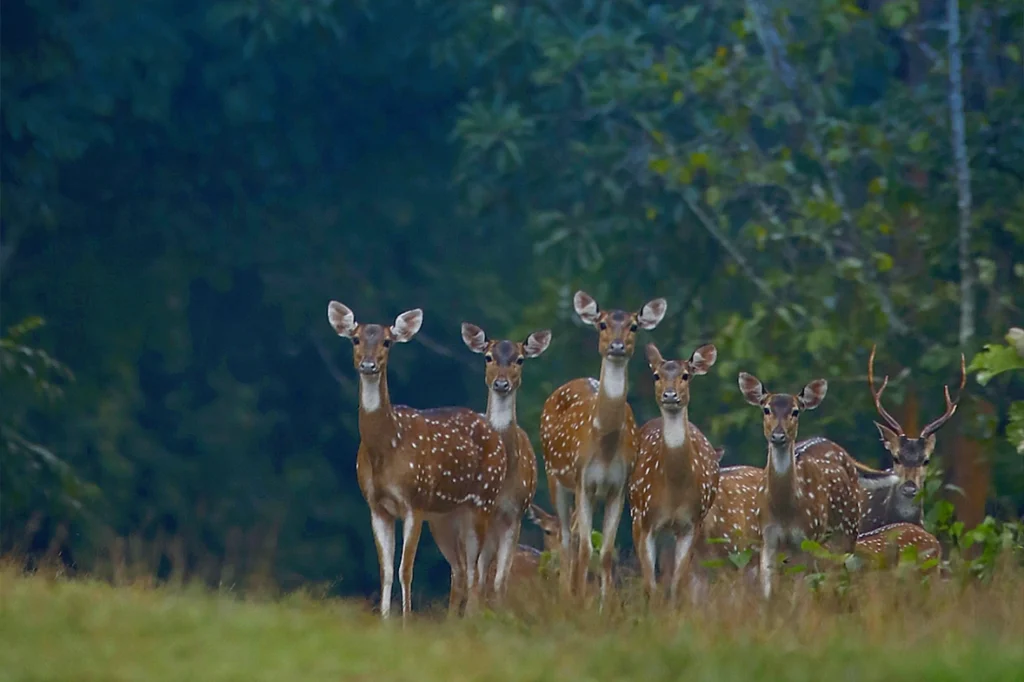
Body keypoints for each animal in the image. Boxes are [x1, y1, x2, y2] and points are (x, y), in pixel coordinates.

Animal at [325, 299, 505, 614]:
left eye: (387, 341)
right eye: (356, 339)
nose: (368, 365)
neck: (387, 448)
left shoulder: (415, 501)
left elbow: (405, 569)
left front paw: (406, 617)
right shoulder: (377, 506)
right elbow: (385, 570)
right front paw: (384, 617)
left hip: (484, 499)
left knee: (476, 570)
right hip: (446, 515)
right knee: (461, 569)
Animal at [540, 288, 667, 602]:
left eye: (634, 326)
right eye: (602, 324)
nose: (617, 346)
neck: (604, 446)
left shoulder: (617, 487)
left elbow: (606, 551)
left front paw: (604, 604)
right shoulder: (582, 480)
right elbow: (586, 548)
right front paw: (579, 603)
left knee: (575, 535)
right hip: (554, 476)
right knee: (566, 536)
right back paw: (567, 593)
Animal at [626, 342, 724, 602]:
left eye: (686, 375)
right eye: (656, 375)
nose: (670, 395)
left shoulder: (692, 522)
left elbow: (677, 585)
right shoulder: (643, 517)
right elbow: (650, 584)